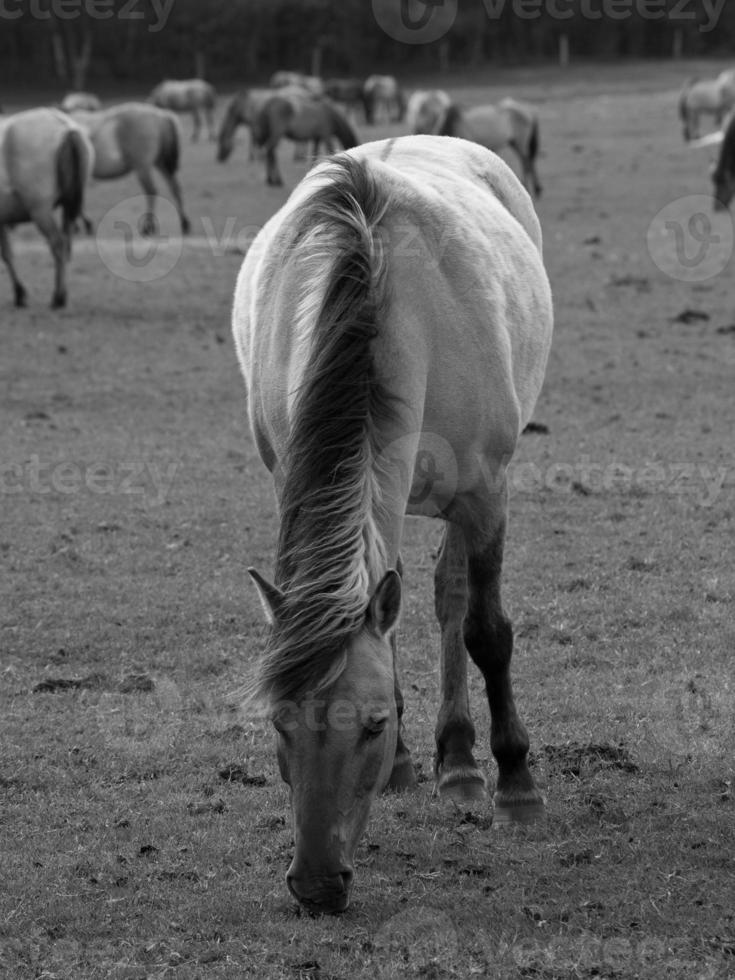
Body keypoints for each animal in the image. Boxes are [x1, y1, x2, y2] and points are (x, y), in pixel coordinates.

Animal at [0, 107, 93, 308]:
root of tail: (65, 128)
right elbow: (7, 254)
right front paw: (19, 293)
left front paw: (20, 292)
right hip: (67, 208)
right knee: (65, 243)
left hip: (40, 211)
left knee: (57, 244)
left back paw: (58, 297)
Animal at [70, 103, 191, 235]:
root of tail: (160, 116)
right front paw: (78, 224)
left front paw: (82, 224)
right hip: (161, 163)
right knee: (175, 187)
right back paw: (184, 223)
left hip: (143, 167)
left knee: (151, 191)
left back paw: (148, 226)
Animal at [233, 134, 556, 916]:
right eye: (279, 723)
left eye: (372, 724)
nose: (317, 884)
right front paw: (411, 759)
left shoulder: (485, 493)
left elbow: (485, 631)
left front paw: (515, 784)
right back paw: (430, 761)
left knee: (453, 603)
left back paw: (463, 764)